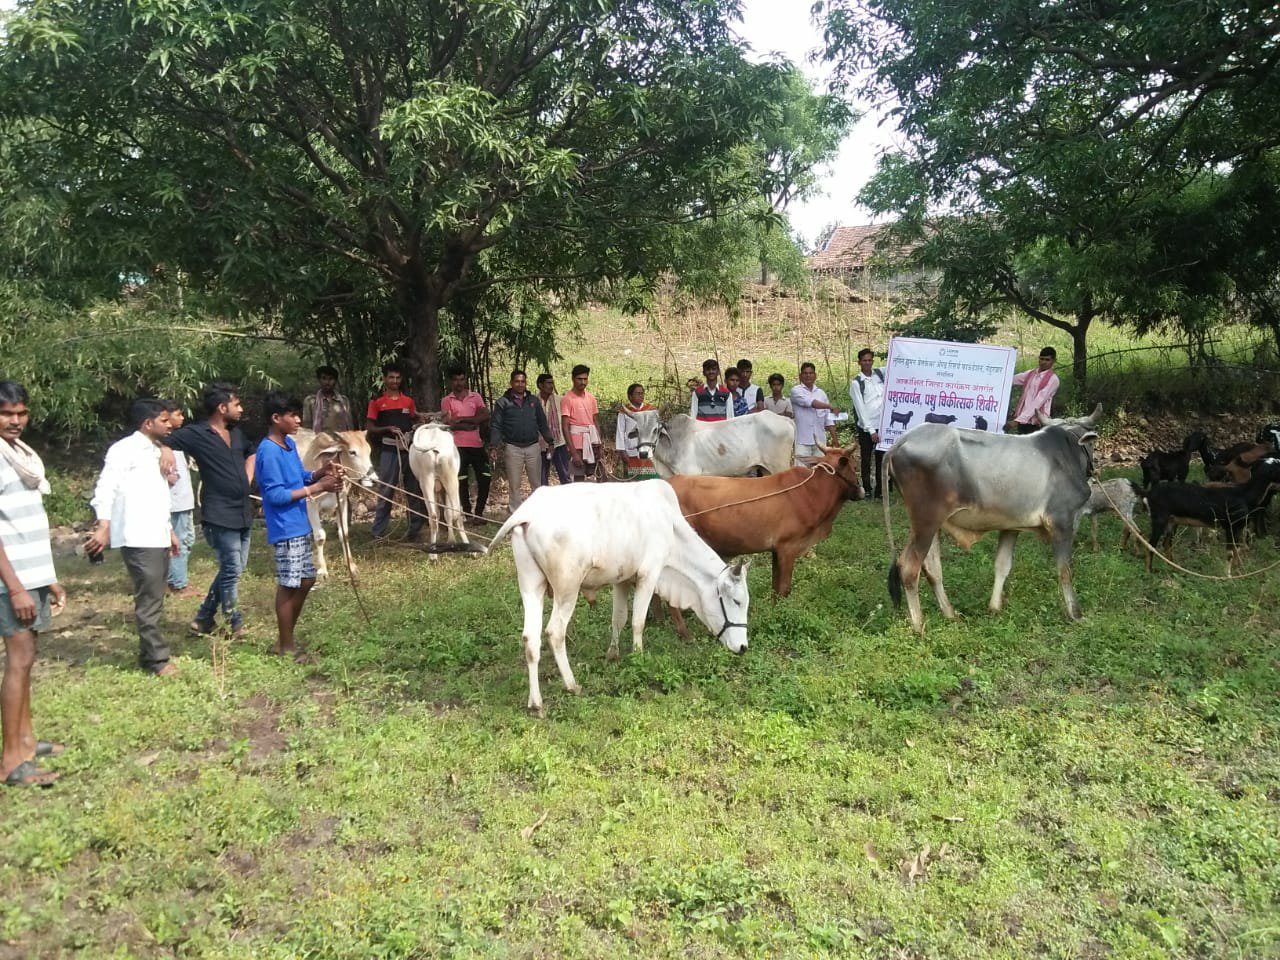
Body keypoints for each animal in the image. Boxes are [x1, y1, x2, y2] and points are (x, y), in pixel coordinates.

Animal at [295, 432, 378, 583]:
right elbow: (320, 537)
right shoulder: (311, 504)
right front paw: (322, 570)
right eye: (352, 452)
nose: (374, 480)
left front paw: (351, 566)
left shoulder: (342, 502)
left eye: (369, 451)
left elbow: (344, 533)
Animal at [404, 419, 471, 555]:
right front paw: (451, 541)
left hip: (426, 482)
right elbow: (447, 513)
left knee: (433, 516)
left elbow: (441, 513)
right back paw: (470, 549)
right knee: (457, 513)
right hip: (451, 479)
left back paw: (433, 553)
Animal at [640, 412, 798, 478]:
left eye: (655, 430)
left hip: (780, 466)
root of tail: (785, 419)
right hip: (766, 470)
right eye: (637, 430)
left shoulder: (690, 474)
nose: (643, 453)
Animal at [665, 448, 865, 599]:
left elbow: (775, 587)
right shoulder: (788, 547)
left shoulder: (776, 550)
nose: (861, 492)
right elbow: (784, 588)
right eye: (855, 466)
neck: (811, 492)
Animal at [885, 404, 1105, 634]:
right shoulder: (1062, 522)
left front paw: (995, 607)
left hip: (931, 526)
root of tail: (901, 441)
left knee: (932, 569)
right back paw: (919, 626)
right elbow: (1065, 571)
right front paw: (1076, 614)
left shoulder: (1012, 526)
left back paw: (951, 614)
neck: (1068, 450)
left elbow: (1002, 565)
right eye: (1091, 444)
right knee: (909, 568)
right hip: (925, 522)